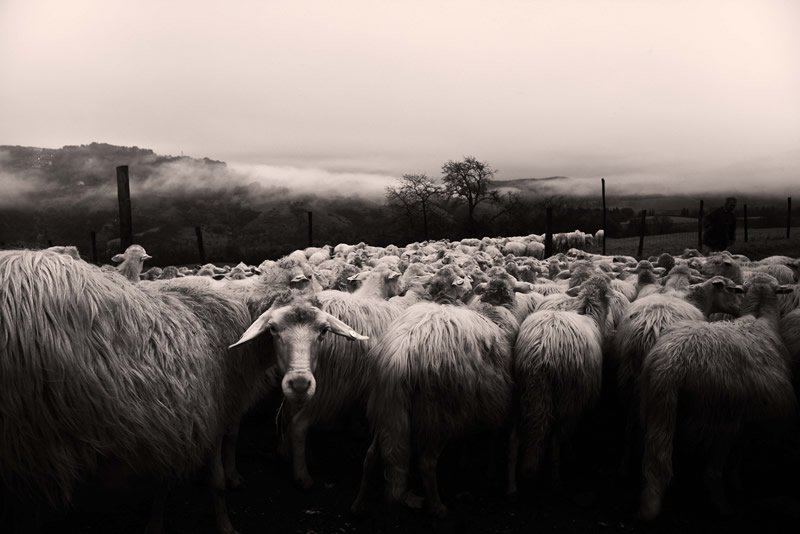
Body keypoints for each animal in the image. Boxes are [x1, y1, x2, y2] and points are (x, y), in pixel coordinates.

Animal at [352, 300, 516, 516]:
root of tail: (400, 356)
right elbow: (496, 440)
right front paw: (494, 474)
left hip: (388, 410)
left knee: (370, 456)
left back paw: (359, 503)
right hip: (438, 415)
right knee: (427, 463)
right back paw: (437, 507)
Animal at [510, 276, 608, 494]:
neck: (587, 312)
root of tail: (542, 354)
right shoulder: (579, 400)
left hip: (525, 391)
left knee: (517, 436)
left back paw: (512, 484)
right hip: (567, 395)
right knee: (555, 438)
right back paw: (556, 480)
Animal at [636, 274, 796, 520]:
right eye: (733, 290)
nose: (738, 308)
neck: (759, 317)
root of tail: (672, 365)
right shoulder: (745, 422)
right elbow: (738, 459)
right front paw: (737, 484)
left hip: (657, 409)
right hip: (720, 421)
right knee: (711, 473)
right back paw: (725, 509)